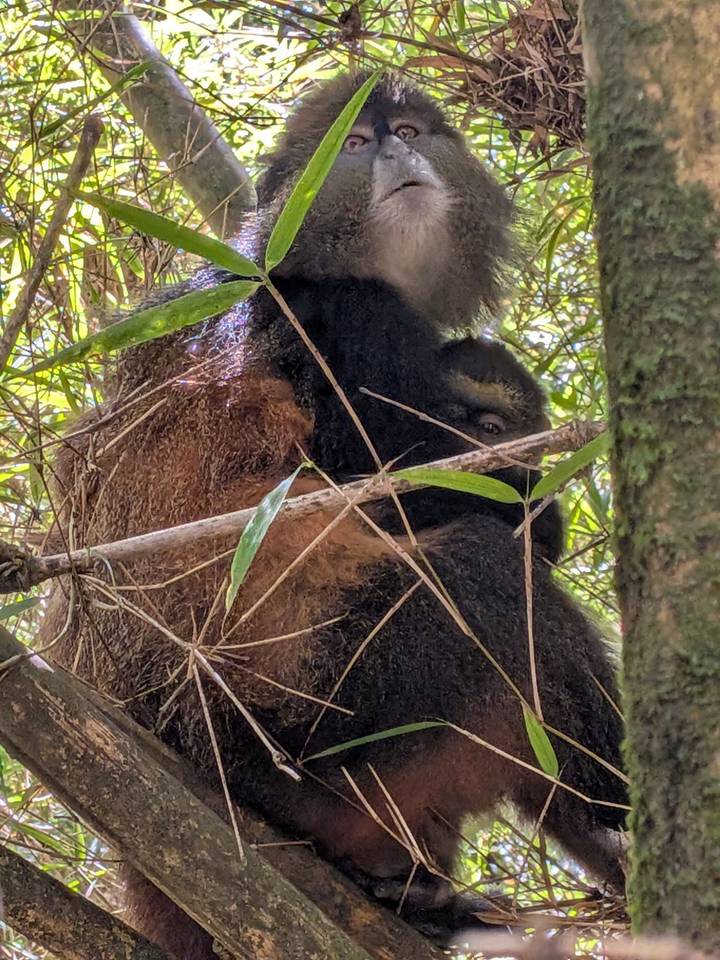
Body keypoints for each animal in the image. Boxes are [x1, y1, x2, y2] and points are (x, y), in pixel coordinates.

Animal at [39, 72, 627, 958]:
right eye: (355, 142)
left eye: (410, 130)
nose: (396, 153)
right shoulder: (351, 325)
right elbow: (405, 492)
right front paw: (532, 503)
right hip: (320, 727)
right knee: (488, 578)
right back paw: (619, 819)